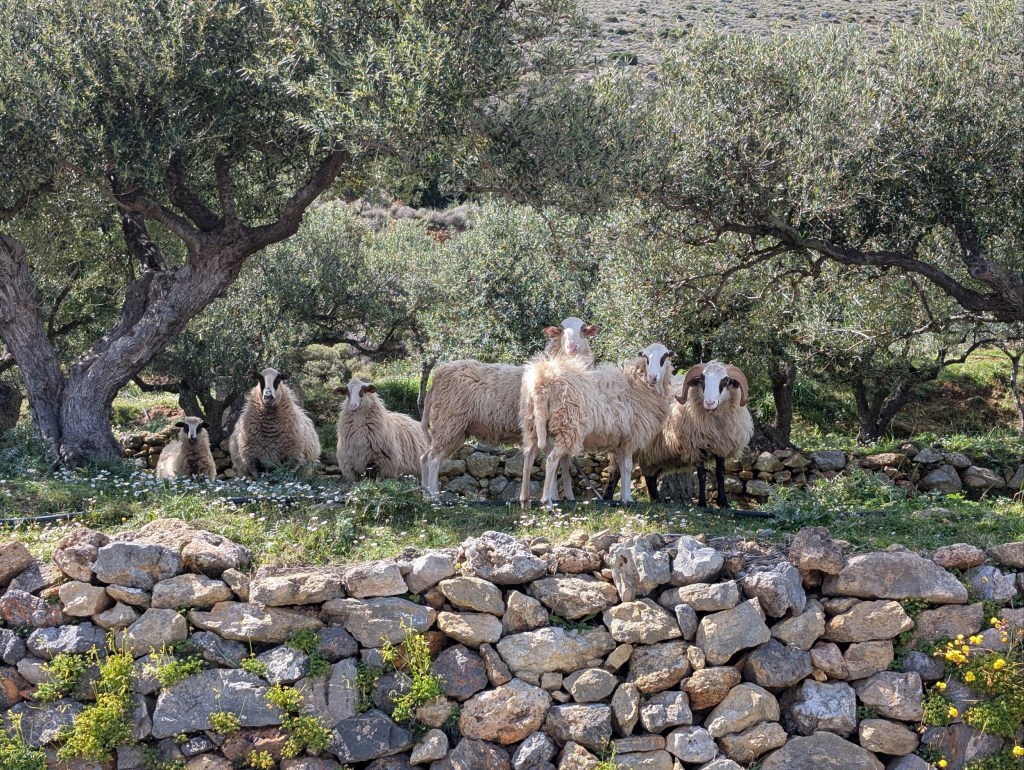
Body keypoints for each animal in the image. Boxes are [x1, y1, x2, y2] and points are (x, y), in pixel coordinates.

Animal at [419, 317, 601, 498]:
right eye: (561, 331)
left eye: (583, 331)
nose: (572, 347)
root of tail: (437, 376)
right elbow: (556, 464)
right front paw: (555, 497)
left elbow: (565, 464)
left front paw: (568, 497)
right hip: (449, 422)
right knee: (433, 459)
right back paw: (435, 497)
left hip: (456, 429)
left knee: (425, 457)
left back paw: (426, 494)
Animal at [520, 343, 675, 507]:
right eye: (646, 357)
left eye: (664, 357)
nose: (652, 377)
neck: (638, 384)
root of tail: (541, 383)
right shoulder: (630, 438)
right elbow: (627, 468)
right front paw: (628, 498)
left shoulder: (620, 441)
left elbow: (622, 469)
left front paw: (623, 498)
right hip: (567, 425)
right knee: (551, 460)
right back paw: (547, 503)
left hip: (533, 424)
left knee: (529, 457)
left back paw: (525, 500)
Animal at [603, 360, 753, 508]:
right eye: (702, 380)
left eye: (725, 381)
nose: (709, 403)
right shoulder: (695, 447)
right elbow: (702, 475)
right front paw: (702, 504)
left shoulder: (721, 447)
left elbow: (721, 474)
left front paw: (724, 503)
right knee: (616, 473)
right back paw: (607, 499)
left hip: (654, 453)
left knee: (650, 478)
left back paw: (657, 501)